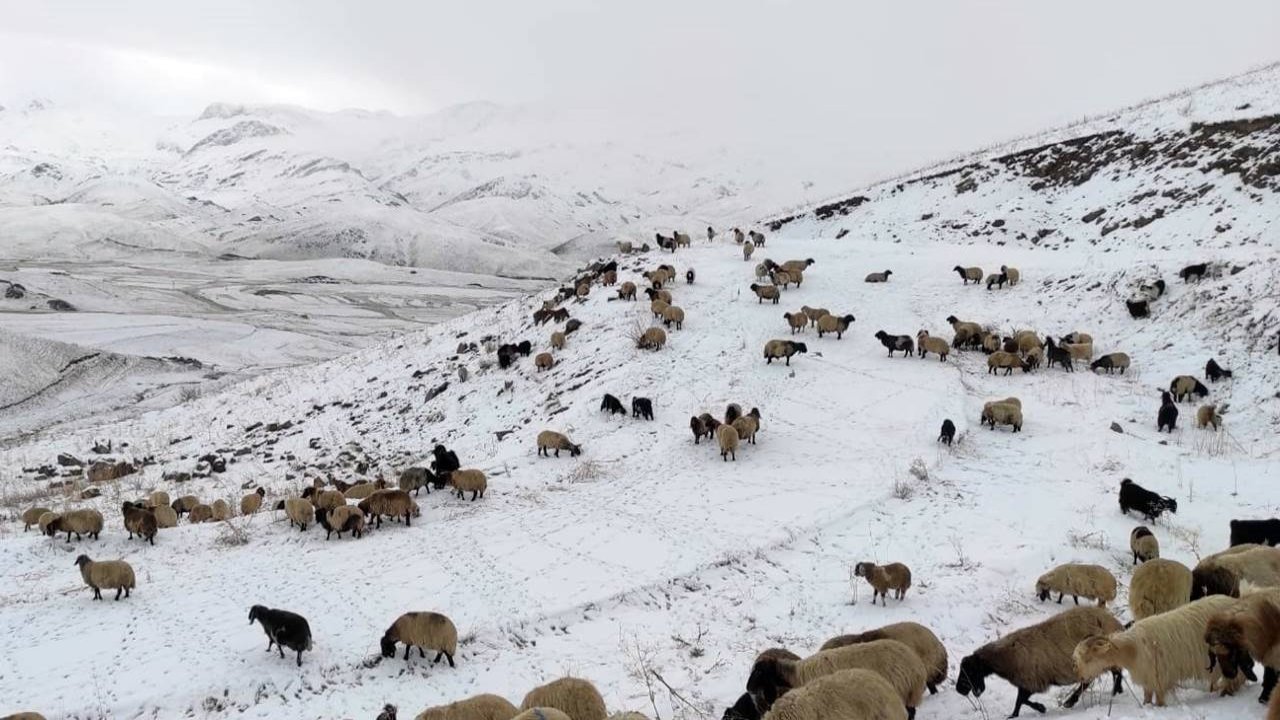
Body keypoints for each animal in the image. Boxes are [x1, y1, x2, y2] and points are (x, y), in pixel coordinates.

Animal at [957, 602, 1126, 712]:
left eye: (969, 670)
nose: (959, 690)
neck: (1005, 656)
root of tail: (1116, 623)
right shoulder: (1028, 681)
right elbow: (1020, 702)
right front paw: (1015, 715)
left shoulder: (1032, 680)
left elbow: (1022, 700)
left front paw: (1040, 708)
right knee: (1112, 674)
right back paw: (1116, 691)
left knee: (1108, 675)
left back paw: (1075, 700)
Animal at [1075, 591, 1244, 702]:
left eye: (1088, 658)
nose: (1081, 677)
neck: (1133, 648)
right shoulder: (1148, 679)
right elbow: (1147, 700)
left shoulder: (1160, 678)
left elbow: (1160, 702)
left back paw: (1227, 692)